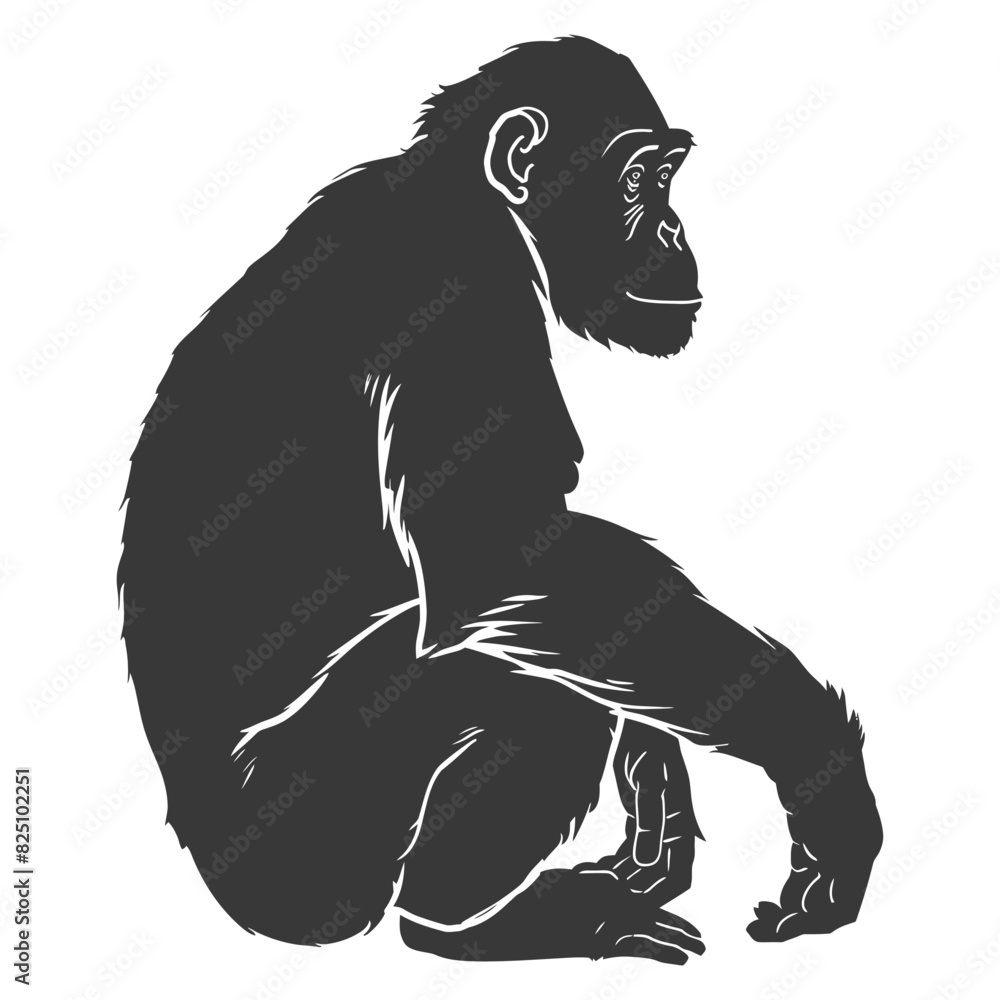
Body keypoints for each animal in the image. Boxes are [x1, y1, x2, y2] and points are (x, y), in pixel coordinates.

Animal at [119, 36, 881, 964]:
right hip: (308, 848)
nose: (674, 229)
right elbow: (501, 559)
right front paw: (823, 776)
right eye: (640, 178)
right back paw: (483, 924)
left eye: (669, 177)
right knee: (524, 690)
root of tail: (208, 864)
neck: (476, 203)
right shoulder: (457, 301)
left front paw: (656, 778)